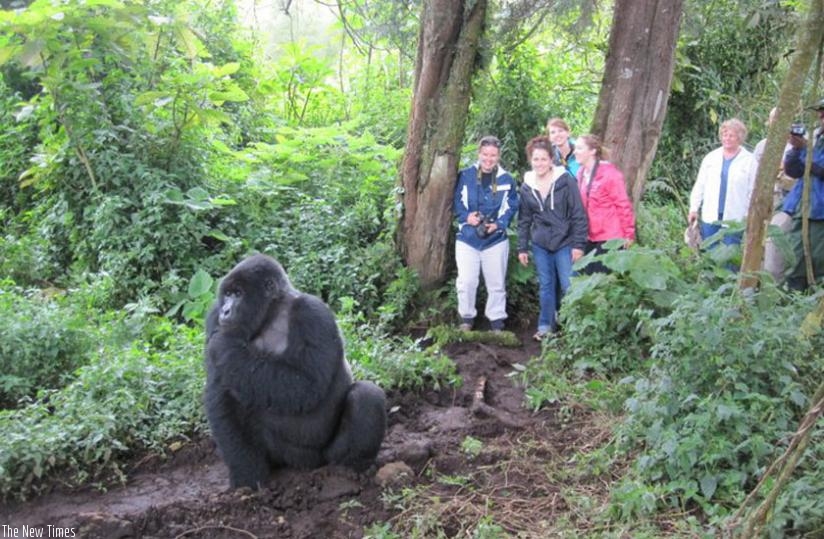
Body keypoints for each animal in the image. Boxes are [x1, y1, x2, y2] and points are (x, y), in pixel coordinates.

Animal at [204, 253, 388, 490]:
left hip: (322, 456)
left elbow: (307, 384)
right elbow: (218, 394)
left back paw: (352, 467)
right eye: (227, 295)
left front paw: (224, 344)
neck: (271, 312)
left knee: (366, 395)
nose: (226, 310)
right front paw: (246, 476)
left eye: (238, 294)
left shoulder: (312, 312)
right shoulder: (213, 316)